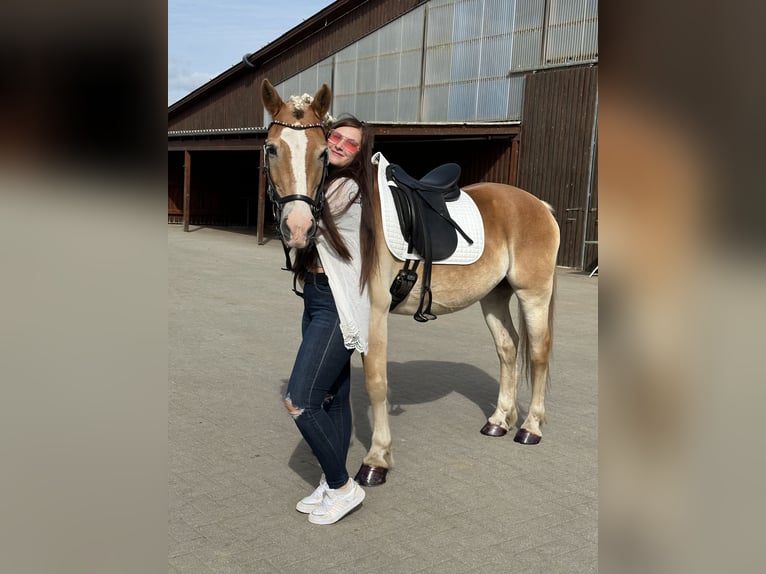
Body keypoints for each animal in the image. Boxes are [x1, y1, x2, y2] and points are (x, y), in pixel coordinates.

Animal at [260, 80, 560, 486]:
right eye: (272, 148)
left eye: (324, 152)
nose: (298, 226)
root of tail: (538, 205)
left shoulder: (372, 313)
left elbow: (376, 383)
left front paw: (377, 459)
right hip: (494, 297)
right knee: (508, 348)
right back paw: (500, 419)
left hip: (533, 294)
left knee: (538, 353)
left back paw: (530, 427)